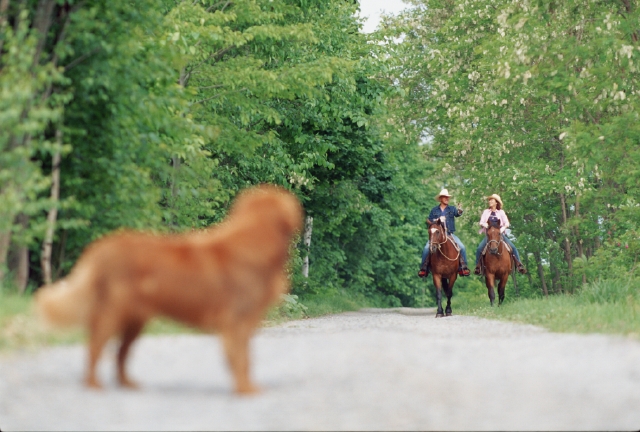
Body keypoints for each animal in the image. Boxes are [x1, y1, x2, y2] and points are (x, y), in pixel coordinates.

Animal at [35, 184, 302, 394]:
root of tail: (101, 248)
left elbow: (246, 357)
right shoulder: (236, 320)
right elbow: (241, 357)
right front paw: (246, 390)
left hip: (134, 320)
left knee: (120, 353)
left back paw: (128, 385)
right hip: (112, 313)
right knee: (95, 348)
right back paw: (93, 385)